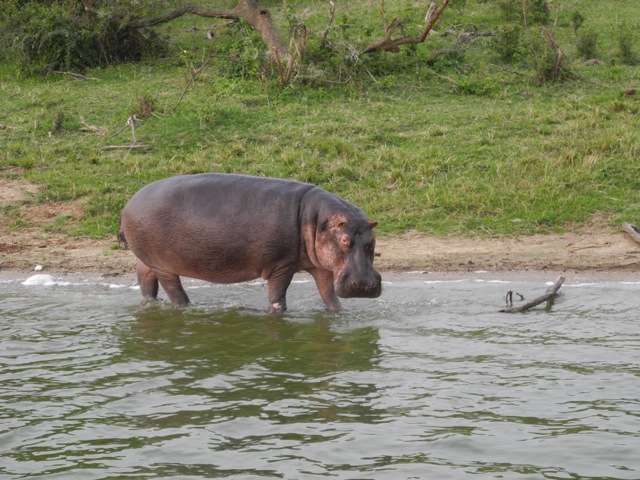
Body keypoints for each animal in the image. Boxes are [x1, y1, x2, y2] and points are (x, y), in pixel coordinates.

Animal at [119, 174, 380, 314]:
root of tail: (128, 203)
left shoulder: (321, 266)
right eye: (345, 241)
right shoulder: (282, 265)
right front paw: (277, 313)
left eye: (372, 241)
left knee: (145, 279)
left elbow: (328, 295)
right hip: (164, 265)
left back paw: (151, 304)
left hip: (147, 259)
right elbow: (277, 295)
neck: (316, 219)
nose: (364, 285)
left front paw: (339, 313)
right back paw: (188, 307)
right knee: (174, 291)